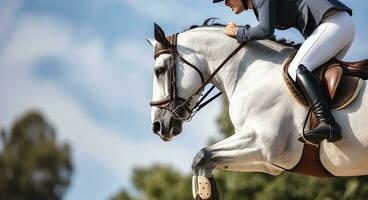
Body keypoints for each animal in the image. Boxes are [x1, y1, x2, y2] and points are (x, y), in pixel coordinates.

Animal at [148, 22, 366, 199]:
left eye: (159, 71)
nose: (157, 126)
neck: (255, 72)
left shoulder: (262, 143)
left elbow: (201, 158)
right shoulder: (268, 162)